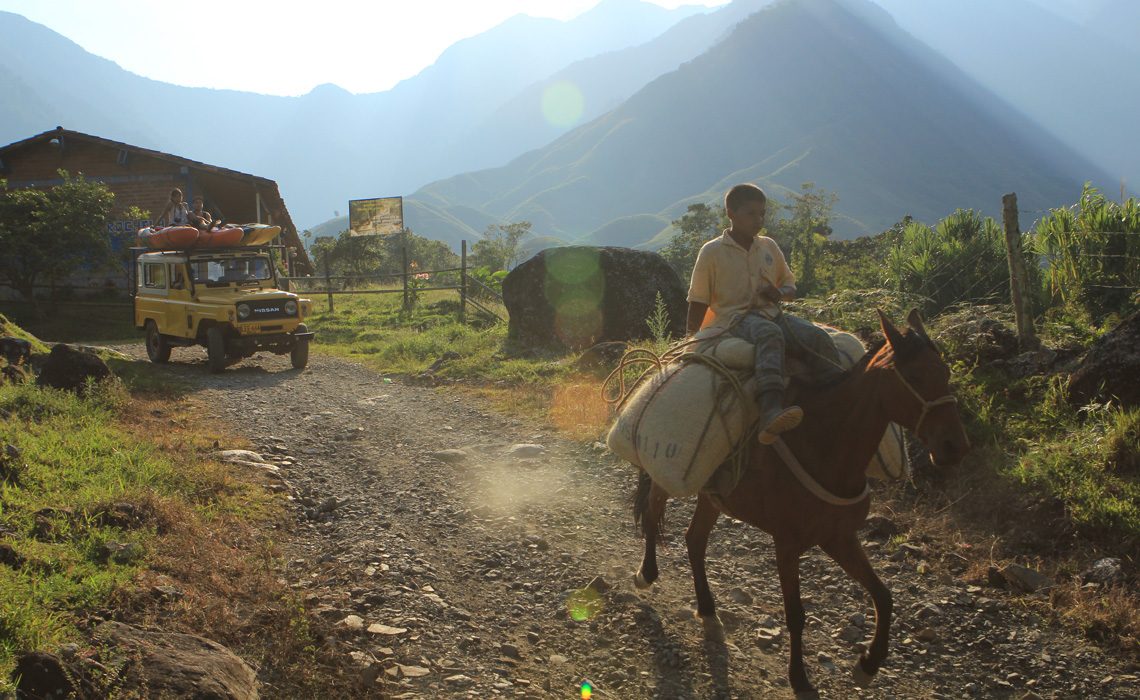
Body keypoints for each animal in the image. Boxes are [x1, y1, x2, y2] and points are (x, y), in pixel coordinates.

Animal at [633, 310, 971, 697]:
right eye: (913, 377)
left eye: (945, 373)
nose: (955, 447)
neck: (825, 444)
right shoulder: (787, 543)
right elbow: (795, 614)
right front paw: (799, 678)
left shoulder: (839, 537)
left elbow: (884, 597)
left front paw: (868, 664)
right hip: (666, 475)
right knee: (653, 514)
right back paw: (646, 574)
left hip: (713, 496)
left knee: (694, 540)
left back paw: (707, 608)